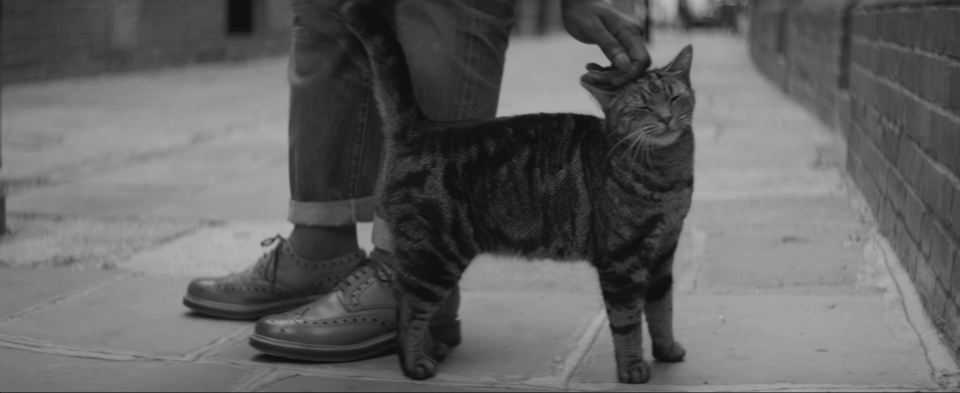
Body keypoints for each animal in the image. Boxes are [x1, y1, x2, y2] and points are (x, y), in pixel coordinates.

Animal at [342, 0, 692, 382]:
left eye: (676, 98)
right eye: (642, 107)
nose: (665, 117)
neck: (669, 173)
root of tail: (423, 128)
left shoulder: (663, 251)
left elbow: (662, 309)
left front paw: (667, 350)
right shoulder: (622, 260)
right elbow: (628, 322)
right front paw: (632, 368)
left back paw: (432, 348)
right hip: (435, 254)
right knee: (407, 304)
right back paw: (414, 362)